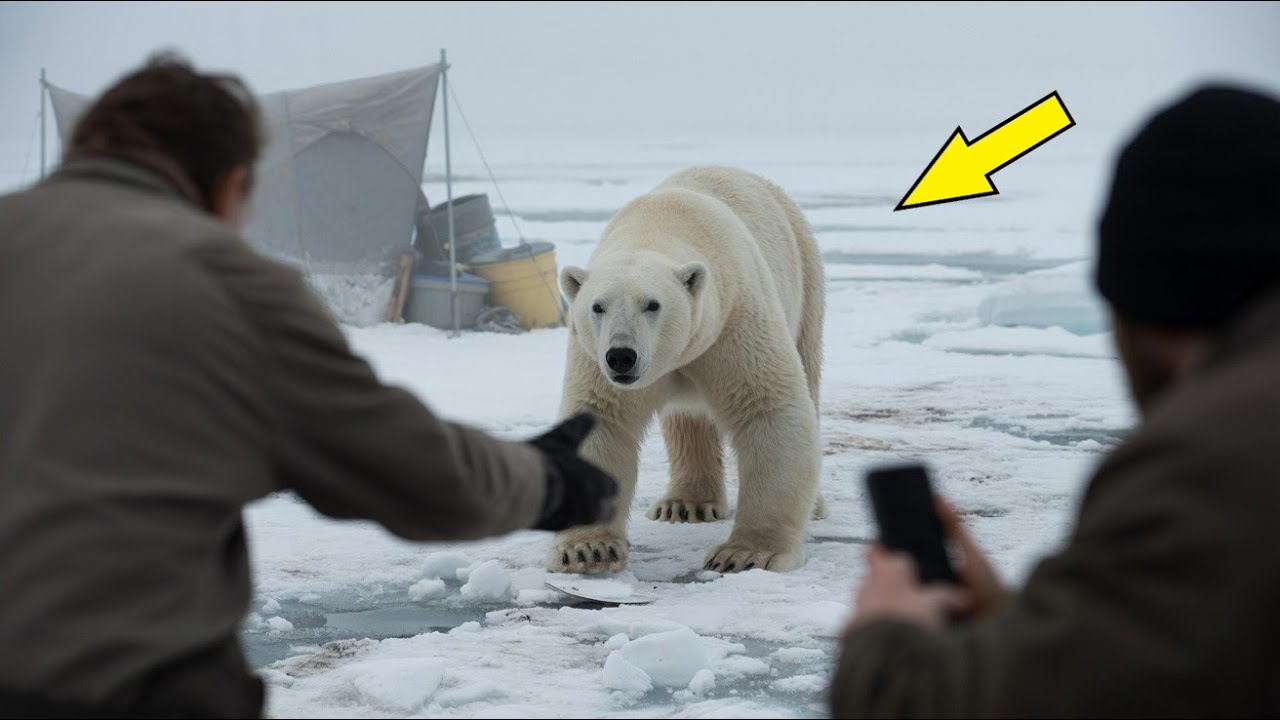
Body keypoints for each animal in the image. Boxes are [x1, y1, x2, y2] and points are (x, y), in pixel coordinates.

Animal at [547, 165, 825, 575]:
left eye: (652, 304)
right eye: (598, 306)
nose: (621, 356)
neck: (659, 224)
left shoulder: (733, 321)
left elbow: (768, 409)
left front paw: (747, 554)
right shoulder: (592, 356)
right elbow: (602, 421)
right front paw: (587, 550)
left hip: (805, 282)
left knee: (808, 372)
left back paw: (815, 505)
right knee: (687, 418)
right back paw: (683, 504)